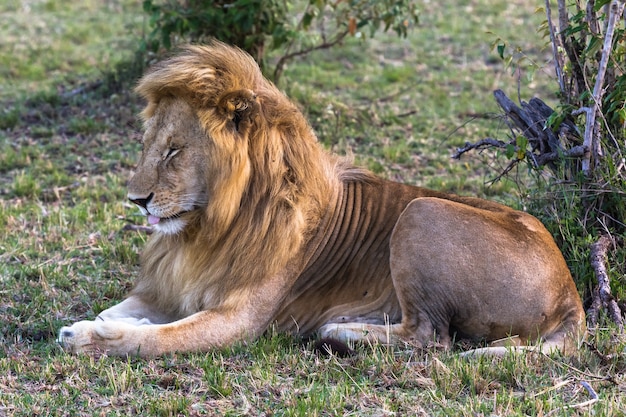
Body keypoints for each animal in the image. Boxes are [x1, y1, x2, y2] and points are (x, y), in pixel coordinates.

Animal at [56, 40, 584, 356]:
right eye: (148, 146)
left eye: (174, 151)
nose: (135, 200)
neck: (207, 229)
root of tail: (570, 292)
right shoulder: (171, 287)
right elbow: (123, 308)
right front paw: (83, 323)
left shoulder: (240, 320)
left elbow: (154, 339)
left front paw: (89, 336)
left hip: (421, 212)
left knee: (430, 337)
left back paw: (340, 330)